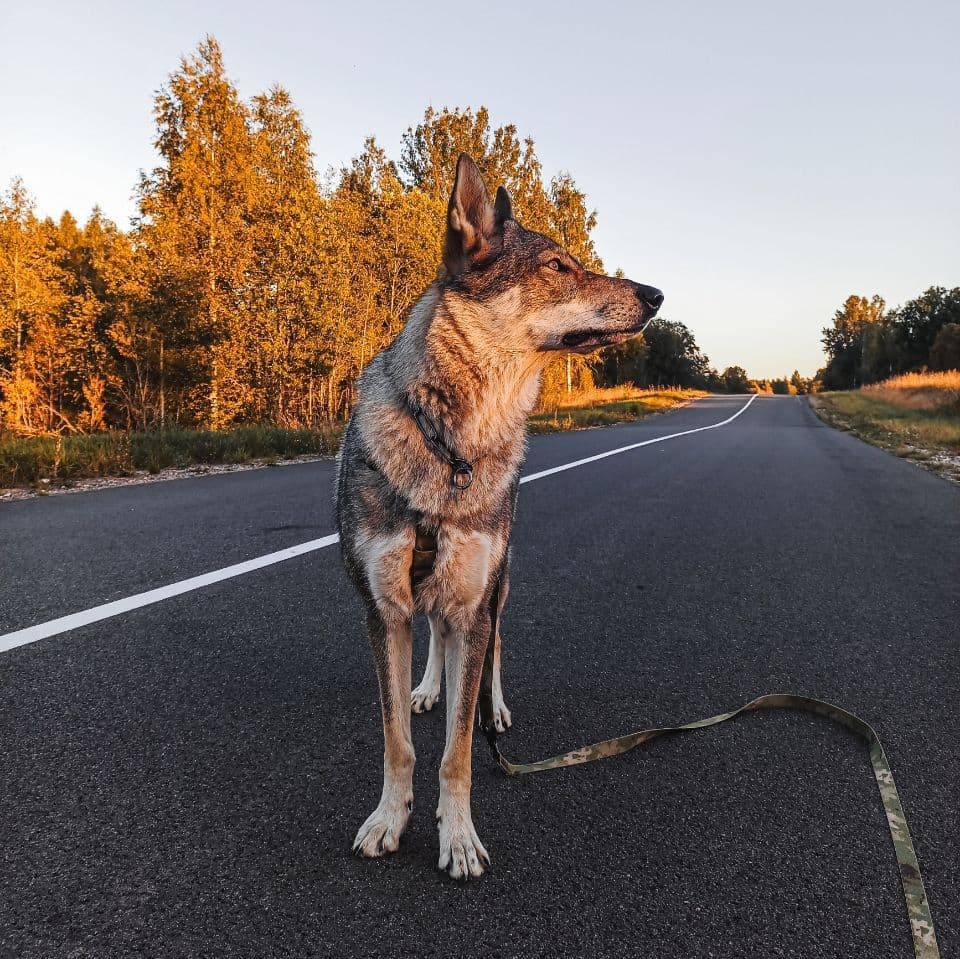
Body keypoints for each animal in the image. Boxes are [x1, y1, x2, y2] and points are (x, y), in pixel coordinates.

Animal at [336, 152, 660, 876]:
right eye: (558, 265)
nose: (657, 295)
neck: (453, 446)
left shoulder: (475, 601)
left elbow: (458, 749)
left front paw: (457, 835)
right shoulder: (382, 611)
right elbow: (399, 740)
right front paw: (388, 819)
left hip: (497, 582)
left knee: (492, 648)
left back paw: (495, 702)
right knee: (439, 639)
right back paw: (431, 685)